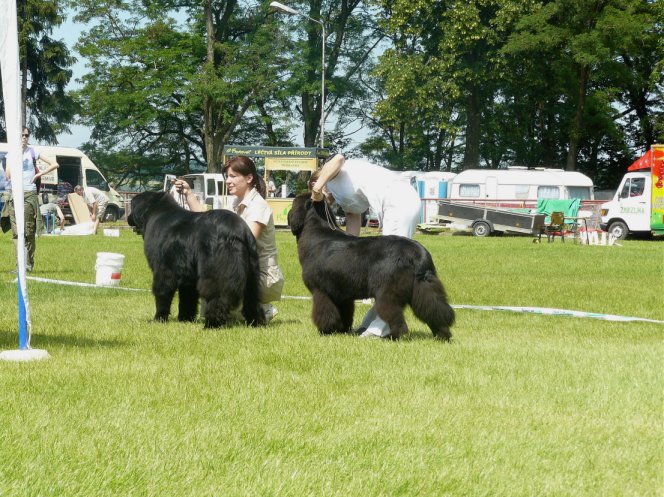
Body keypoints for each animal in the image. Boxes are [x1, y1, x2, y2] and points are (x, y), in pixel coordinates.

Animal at [127, 192, 264, 328]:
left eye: (132, 205)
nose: (127, 217)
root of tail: (237, 231)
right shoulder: (188, 275)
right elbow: (187, 297)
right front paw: (185, 319)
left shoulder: (163, 269)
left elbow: (162, 292)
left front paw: (158, 319)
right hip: (252, 271)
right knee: (252, 297)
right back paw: (255, 322)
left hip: (215, 272)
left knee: (217, 296)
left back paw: (212, 324)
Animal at [288, 192, 454, 340]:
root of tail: (417, 253)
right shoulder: (342, 293)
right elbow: (344, 313)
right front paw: (341, 330)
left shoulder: (321, 290)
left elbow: (325, 313)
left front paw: (325, 331)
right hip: (424, 288)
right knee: (434, 310)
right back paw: (442, 335)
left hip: (387, 292)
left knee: (396, 318)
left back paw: (394, 337)